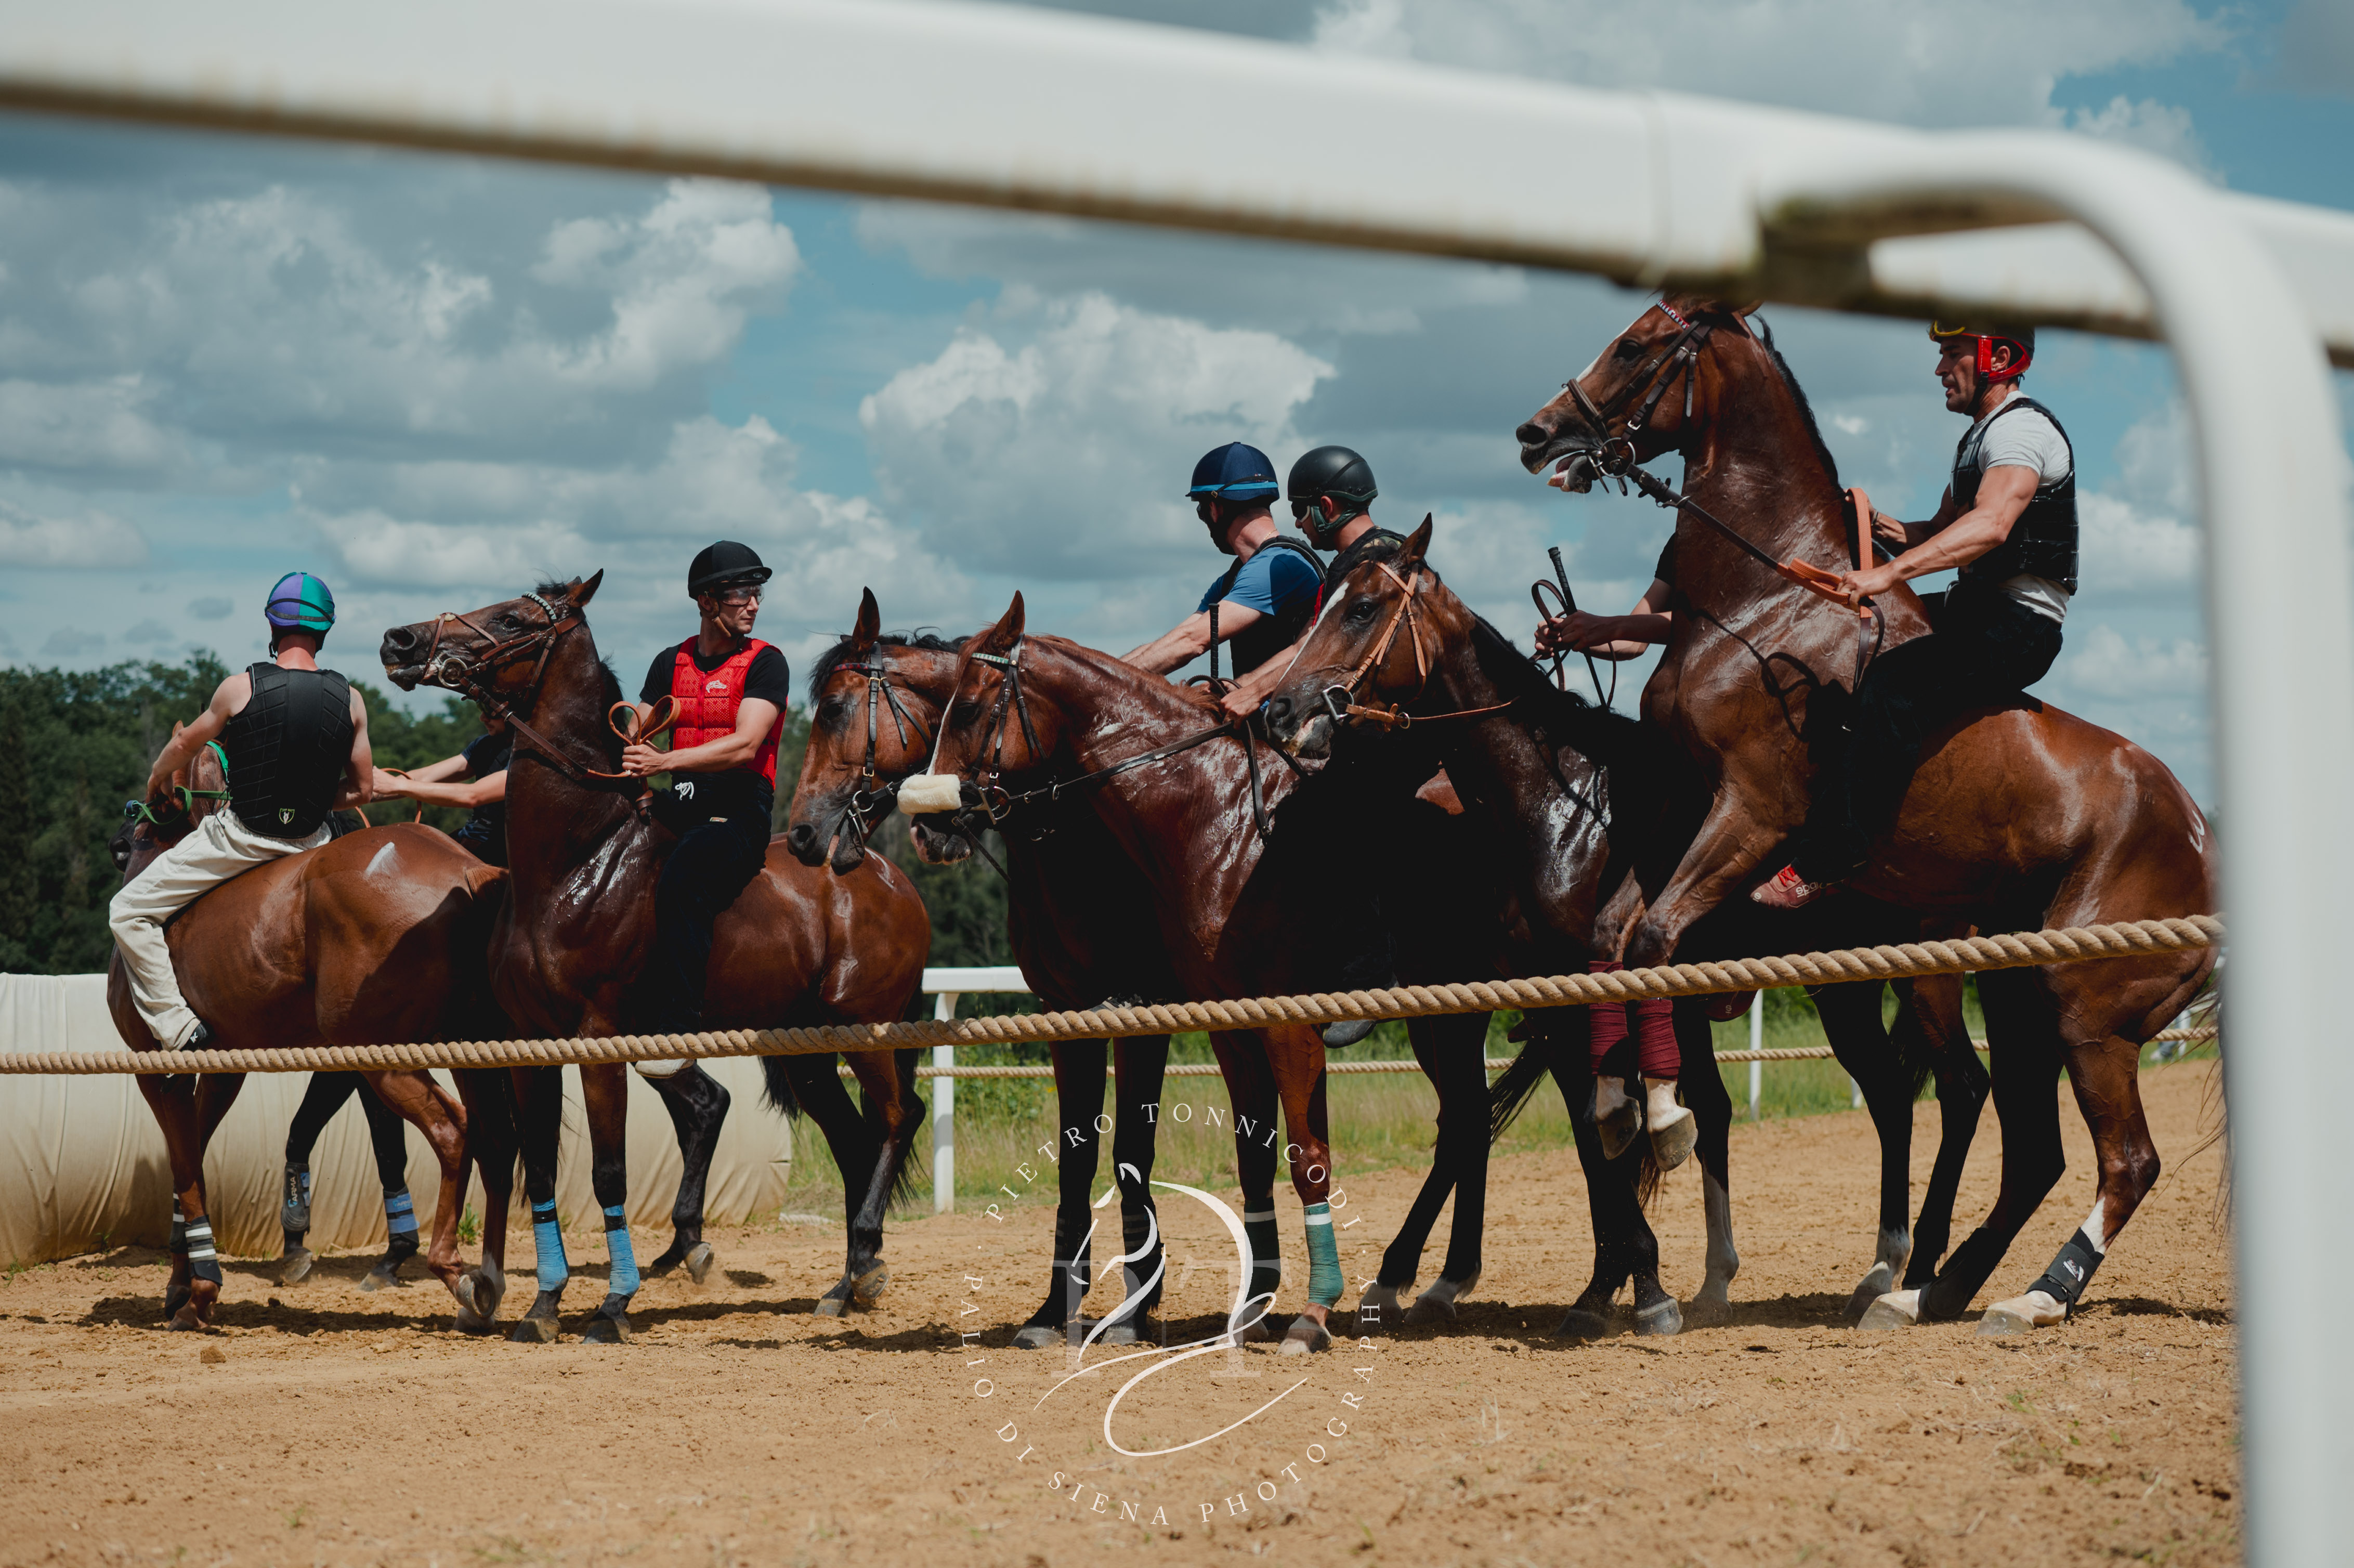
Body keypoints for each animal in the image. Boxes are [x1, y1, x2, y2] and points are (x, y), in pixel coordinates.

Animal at [104, 739, 515, 1328]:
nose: (120, 841)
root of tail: (465, 870)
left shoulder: (159, 1071)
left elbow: (184, 1165)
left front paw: (198, 1288)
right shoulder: (224, 1070)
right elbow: (194, 1163)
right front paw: (184, 1282)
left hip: (383, 1057)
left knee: (455, 1131)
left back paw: (455, 1271)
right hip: (468, 1051)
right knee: (498, 1141)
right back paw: (490, 1282)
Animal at [381, 577, 932, 1347]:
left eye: (514, 618)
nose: (399, 642)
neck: (577, 862)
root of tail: (884, 873)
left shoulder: (599, 1043)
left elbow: (608, 1175)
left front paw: (613, 1305)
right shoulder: (530, 1045)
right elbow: (541, 1171)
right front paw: (544, 1304)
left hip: (868, 1032)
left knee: (896, 1118)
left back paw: (865, 1268)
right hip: (807, 1053)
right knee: (855, 1138)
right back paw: (848, 1281)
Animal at [781, 586, 1177, 1347]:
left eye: (837, 709)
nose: (802, 834)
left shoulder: (1145, 1010)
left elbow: (1132, 1154)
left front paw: (1136, 1310)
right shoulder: (1065, 1012)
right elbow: (1076, 1158)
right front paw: (1054, 1311)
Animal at [1262, 518, 1996, 1328]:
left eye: (1361, 609)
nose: (1282, 711)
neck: (1568, 804)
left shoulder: (1576, 1005)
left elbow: (1600, 1126)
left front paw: (1639, 1284)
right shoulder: (1555, 1007)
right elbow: (1601, 1129)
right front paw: (1612, 1283)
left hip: (1922, 978)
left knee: (1961, 1089)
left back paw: (1916, 1270)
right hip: (1846, 990)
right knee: (1894, 1096)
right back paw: (1880, 1267)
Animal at [1516, 296, 2213, 1328]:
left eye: (1637, 344)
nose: (1537, 433)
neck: (1760, 603)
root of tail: (2200, 832)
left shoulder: (1750, 816)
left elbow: (1656, 942)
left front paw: (1664, 1114)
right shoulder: (1680, 809)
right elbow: (1615, 939)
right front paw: (1614, 1101)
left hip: (2083, 1011)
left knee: (2122, 1160)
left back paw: (2031, 1295)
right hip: (2017, 996)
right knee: (2030, 1151)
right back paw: (1928, 1289)